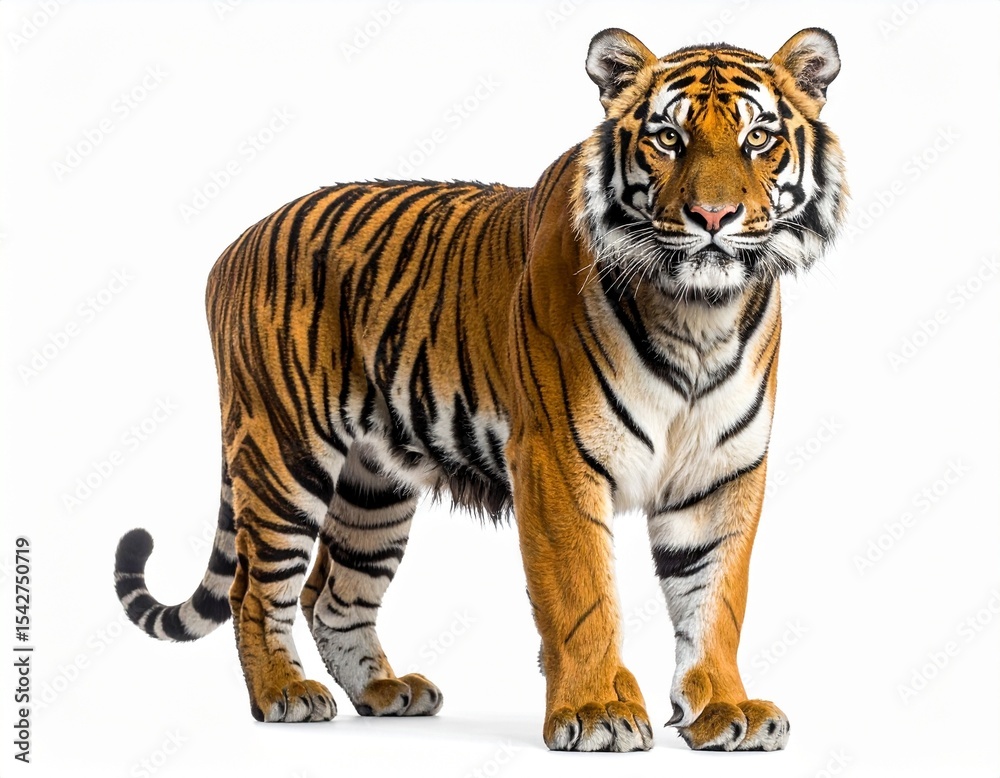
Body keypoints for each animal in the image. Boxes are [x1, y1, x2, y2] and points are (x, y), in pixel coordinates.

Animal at [113, 26, 847, 752]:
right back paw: (285, 694)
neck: (700, 316)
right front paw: (598, 710)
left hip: (373, 487)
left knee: (333, 594)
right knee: (256, 590)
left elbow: (716, 600)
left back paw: (385, 691)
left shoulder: (722, 473)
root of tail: (235, 243)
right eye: (668, 138)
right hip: (283, 453)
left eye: (758, 138)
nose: (713, 216)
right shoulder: (558, 461)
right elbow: (583, 595)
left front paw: (725, 708)